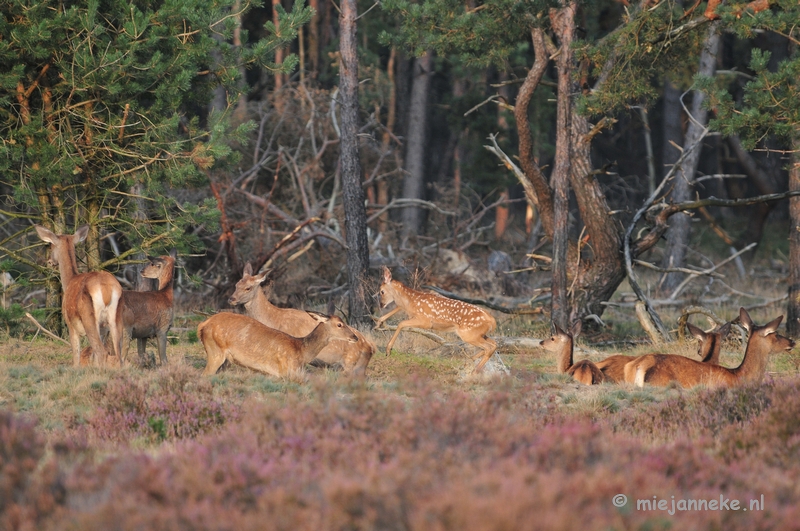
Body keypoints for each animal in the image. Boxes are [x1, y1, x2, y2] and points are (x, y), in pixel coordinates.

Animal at [35, 222, 122, 368]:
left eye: (51, 245)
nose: (49, 261)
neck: (69, 281)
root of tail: (106, 290)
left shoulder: (70, 324)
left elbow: (76, 357)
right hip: (114, 319)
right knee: (118, 352)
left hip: (89, 318)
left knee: (101, 351)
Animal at [197, 310, 360, 380]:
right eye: (339, 324)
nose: (355, 337)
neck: (301, 351)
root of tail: (203, 325)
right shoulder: (286, 371)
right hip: (215, 351)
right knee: (204, 375)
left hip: (225, 360)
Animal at [225, 264, 376, 376]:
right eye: (236, 285)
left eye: (248, 288)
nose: (231, 299)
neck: (273, 318)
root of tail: (370, 346)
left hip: (351, 363)